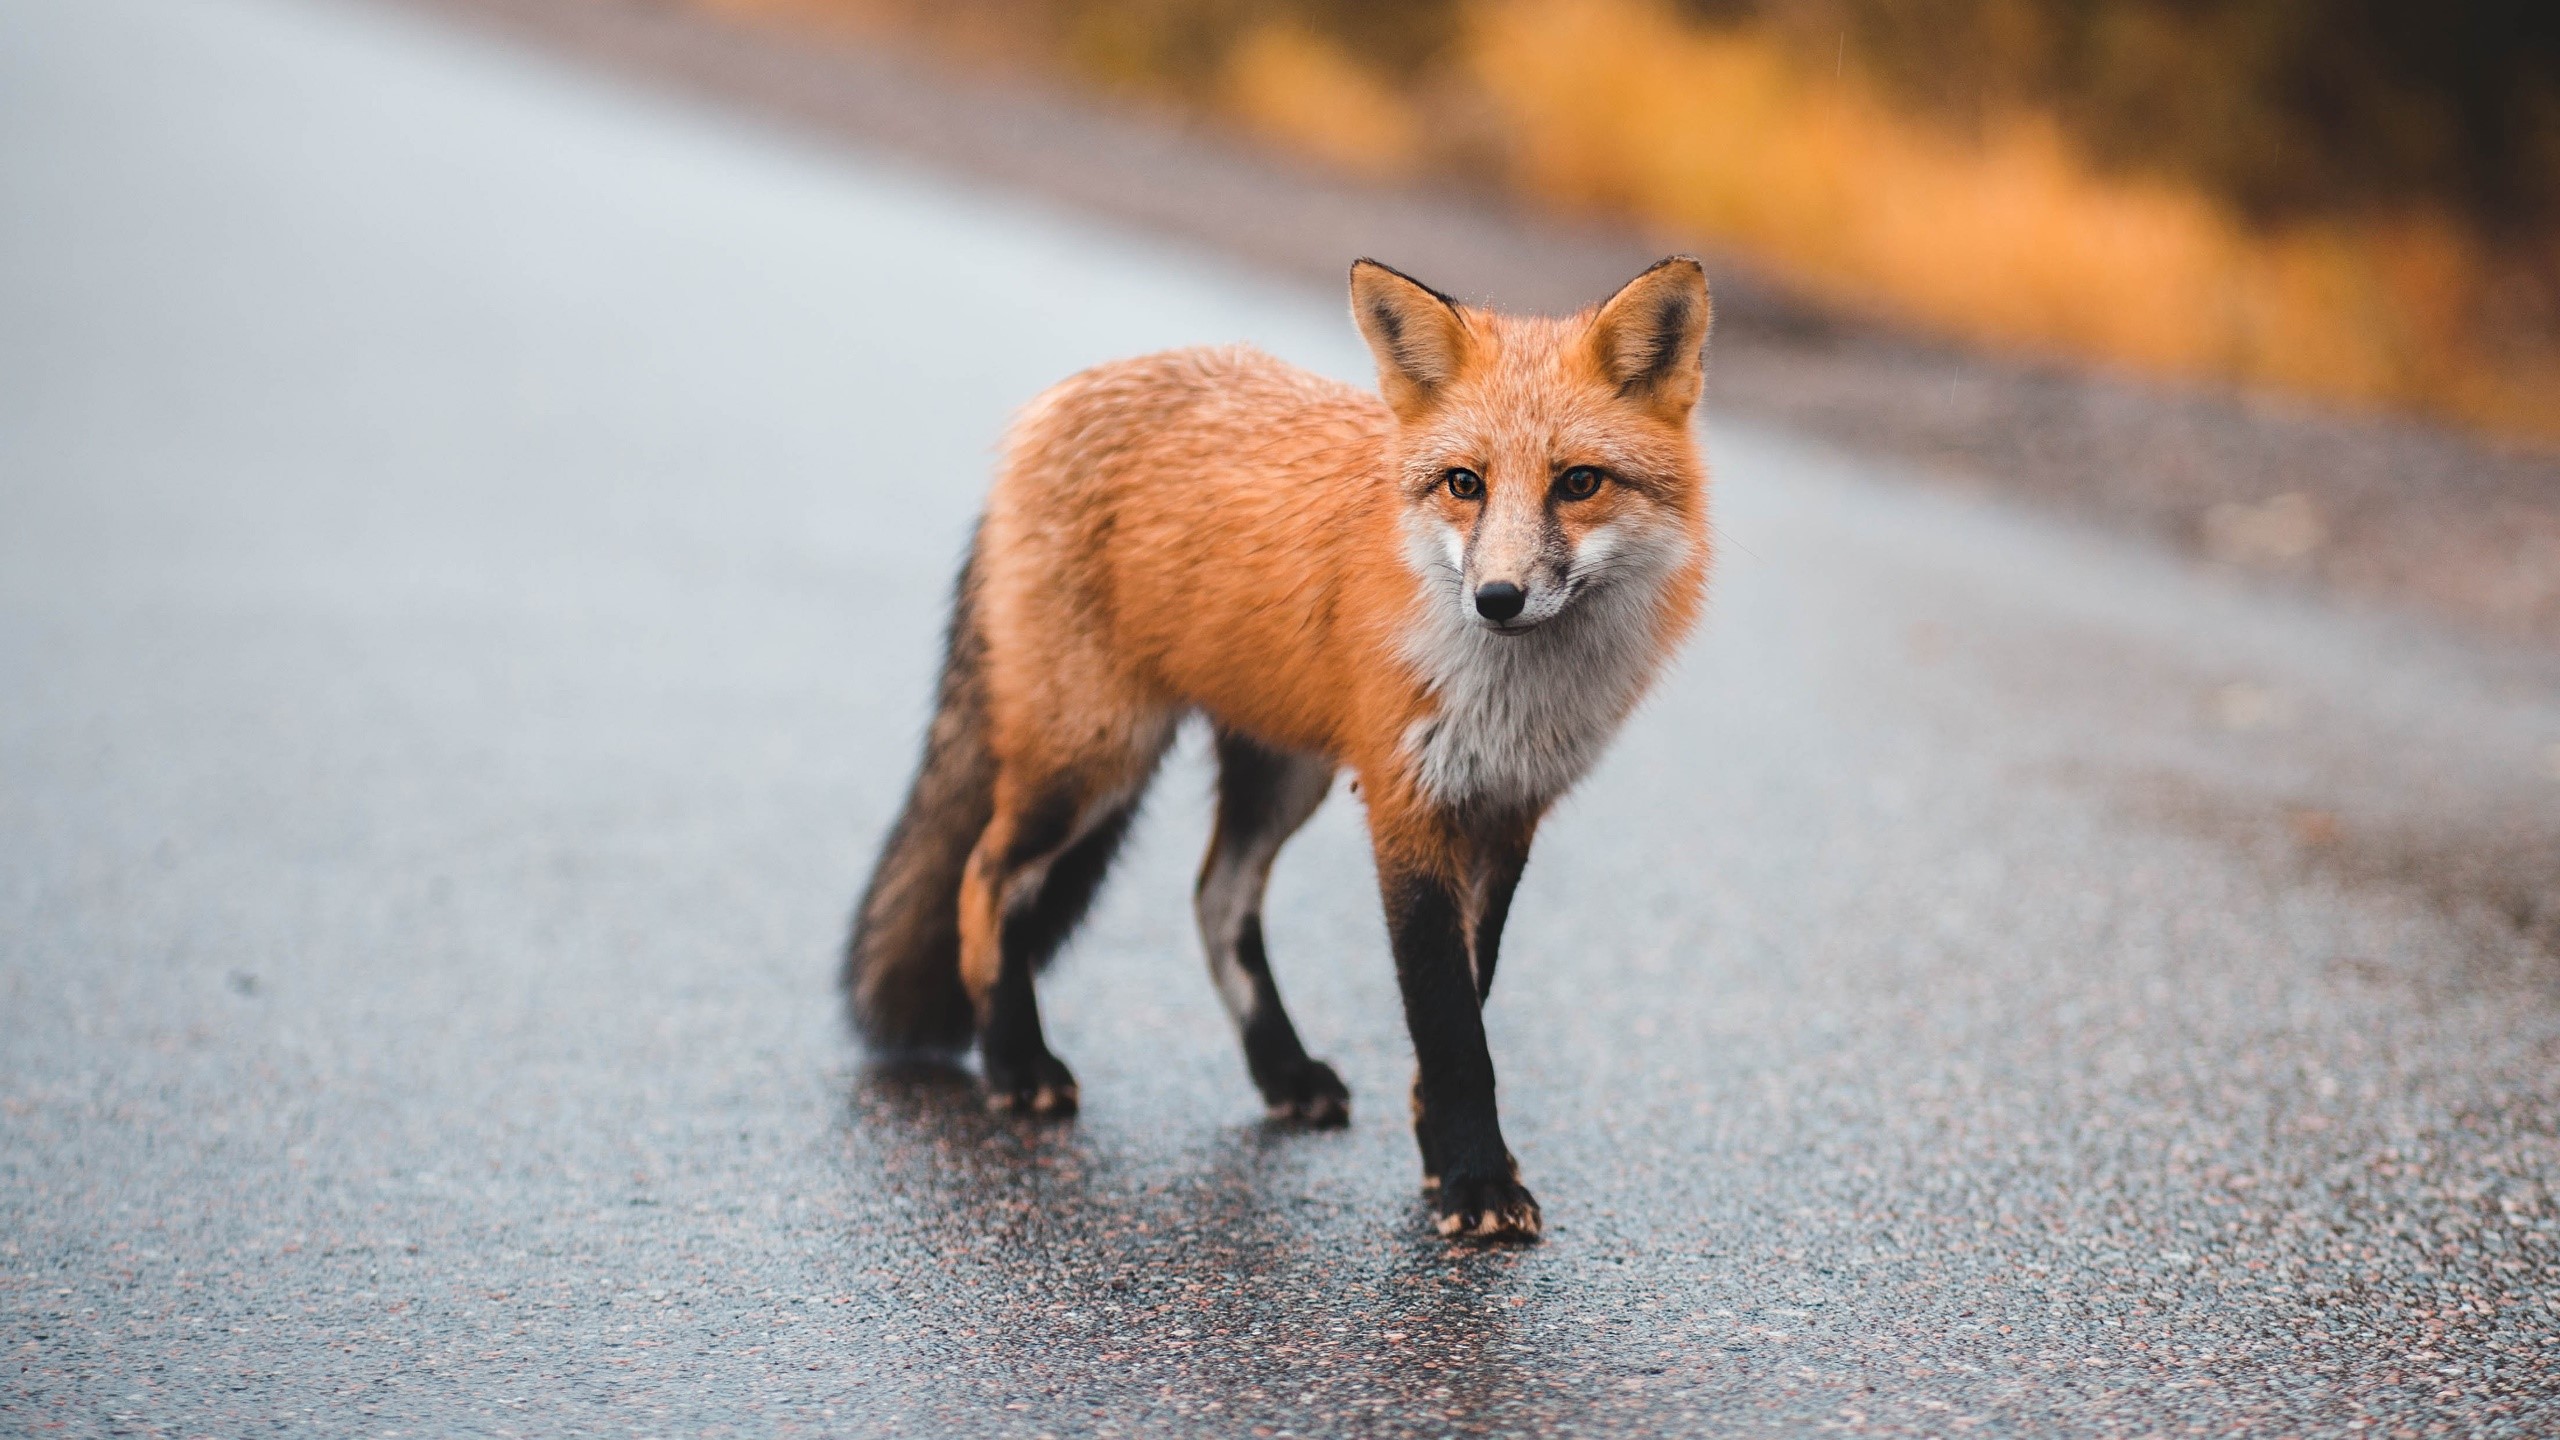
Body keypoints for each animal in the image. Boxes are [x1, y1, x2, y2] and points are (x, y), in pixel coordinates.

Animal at [843, 256, 1712, 1240]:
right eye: (1465, 484)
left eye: (1578, 483)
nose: (1496, 598)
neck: (1512, 697)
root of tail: (1058, 399)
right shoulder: (1407, 806)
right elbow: (1450, 1024)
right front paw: (1475, 1181)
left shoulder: (1506, 812)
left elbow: (1469, 1003)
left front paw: (1442, 1156)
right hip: (1096, 756)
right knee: (987, 879)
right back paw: (1016, 1063)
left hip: (1282, 773)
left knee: (1215, 898)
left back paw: (1281, 1072)